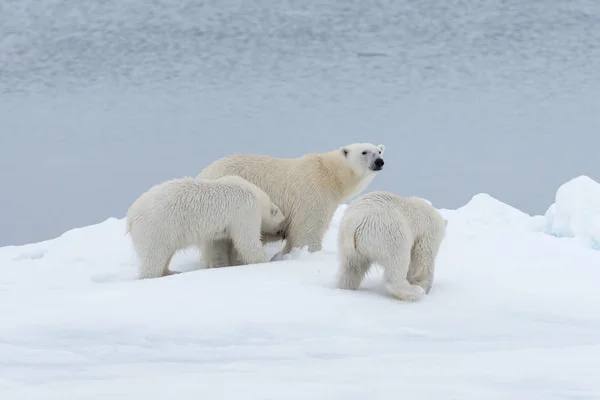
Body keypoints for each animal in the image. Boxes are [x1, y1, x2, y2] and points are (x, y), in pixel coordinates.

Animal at [125, 175, 284, 278]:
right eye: (282, 222)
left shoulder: (222, 228)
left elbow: (220, 244)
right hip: (156, 226)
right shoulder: (245, 211)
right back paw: (153, 275)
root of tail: (131, 215)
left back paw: (170, 272)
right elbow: (247, 241)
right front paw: (261, 261)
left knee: (165, 253)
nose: (283, 232)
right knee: (153, 256)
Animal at [197, 141, 384, 262]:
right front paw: (308, 254)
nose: (379, 162)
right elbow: (308, 229)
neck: (329, 174)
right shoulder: (313, 193)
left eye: (379, 151)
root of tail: (203, 173)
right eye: (364, 152)